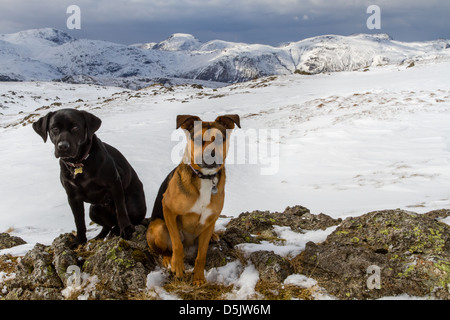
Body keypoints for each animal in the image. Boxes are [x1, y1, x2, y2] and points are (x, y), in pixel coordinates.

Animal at [33, 109, 146, 244]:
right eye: (54, 128)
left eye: (75, 127)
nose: (63, 146)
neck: (79, 163)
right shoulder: (73, 197)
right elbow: (79, 222)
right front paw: (79, 241)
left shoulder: (115, 184)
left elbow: (121, 210)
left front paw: (126, 229)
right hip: (94, 210)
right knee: (107, 226)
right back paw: (99, 236)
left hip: (135, 207)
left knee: (120, 220)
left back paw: (118, 229)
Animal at [147, 114, 239, 284]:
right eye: (196, 139)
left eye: (220, 139)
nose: (210, 156)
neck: (205, 178)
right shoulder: (167, 209)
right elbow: (177, 244)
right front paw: (177, 267)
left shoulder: (210, 219)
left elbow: (201, 255)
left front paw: (198, 278)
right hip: (158, 227)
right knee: (165, 248)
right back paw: (168, 259)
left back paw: (214, 236)